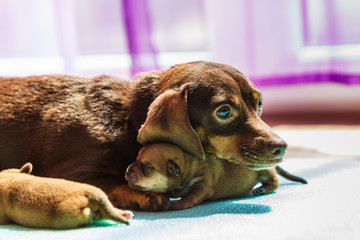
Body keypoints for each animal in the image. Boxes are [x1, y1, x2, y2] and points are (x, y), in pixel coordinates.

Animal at [125, 143, 306, 209]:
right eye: (135, 158)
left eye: (147, 167)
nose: (127, 170)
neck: (188, 163)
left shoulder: (203, 185)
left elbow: (190, 195)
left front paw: (177, 204)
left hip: (264, 171)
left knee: (274, 182)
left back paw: (261, 189)